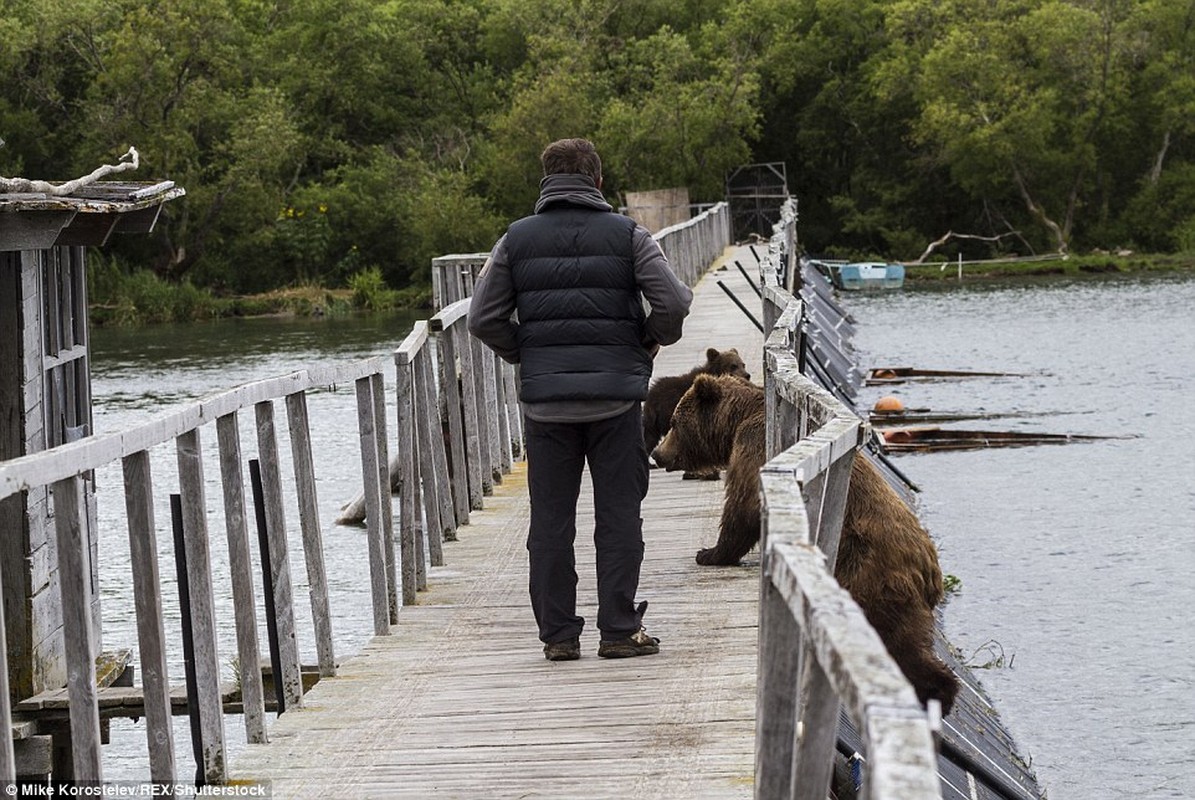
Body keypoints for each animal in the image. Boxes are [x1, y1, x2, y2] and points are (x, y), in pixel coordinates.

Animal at [654, 370, 960, 712]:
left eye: (675, 421)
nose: (657, 453)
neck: (735, 422)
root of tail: (931, 569)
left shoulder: (752, 448)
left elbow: (743, 507)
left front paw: (709, 553)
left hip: (872, 576)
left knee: (897, 642)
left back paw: (938, 693)